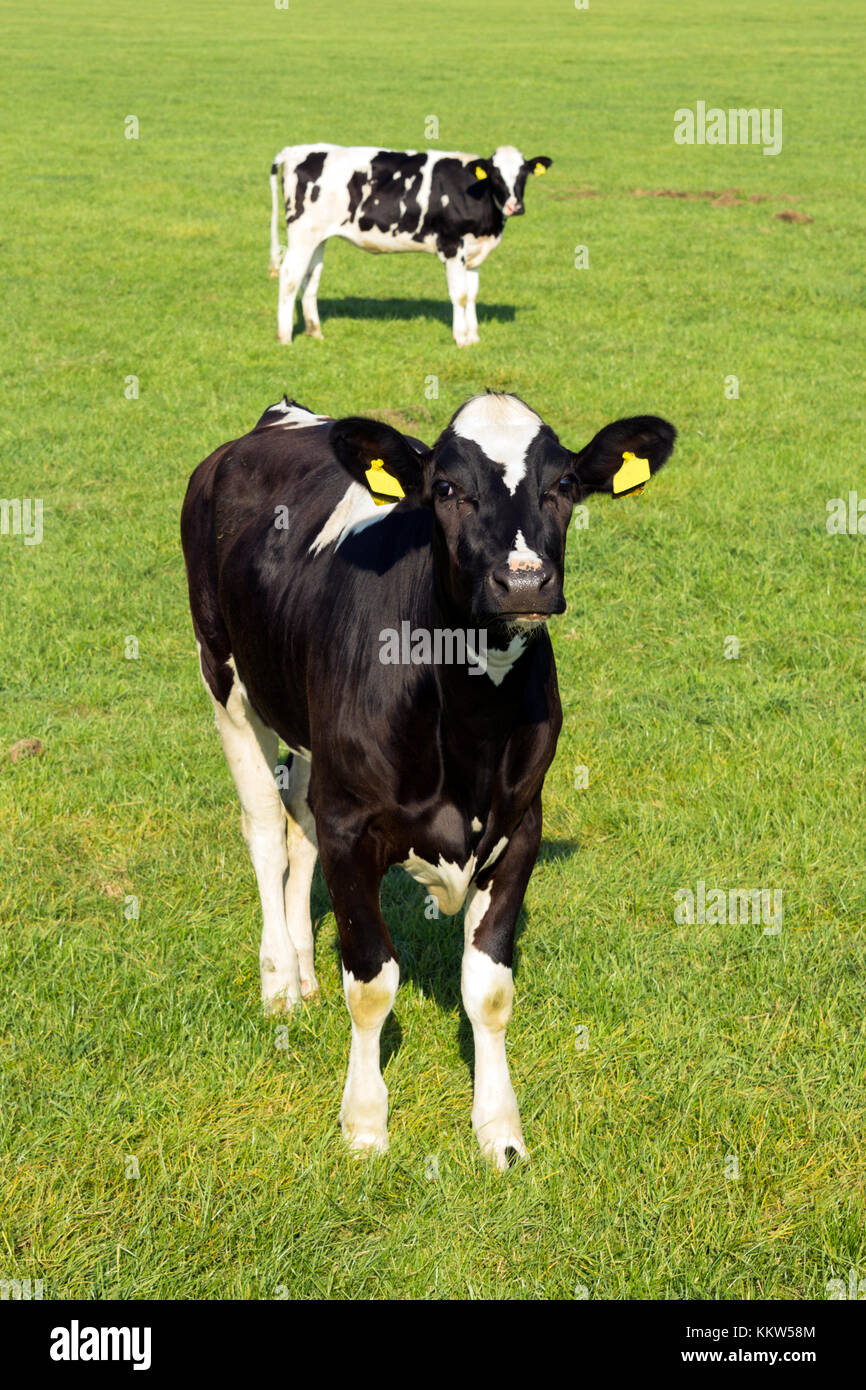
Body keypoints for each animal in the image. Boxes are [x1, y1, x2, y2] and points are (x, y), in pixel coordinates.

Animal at [181, 391, 676, 1167]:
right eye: (445, 488)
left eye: (565, 485)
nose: (524, 579)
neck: (471, 720)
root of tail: (282, 416)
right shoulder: (353, 826)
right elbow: (372, 981)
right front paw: (364, 1125)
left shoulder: (520, 825)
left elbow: (489, 988)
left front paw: (500, 1130)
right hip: (223, 676)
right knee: (263, 825)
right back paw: (279, 979)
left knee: (297, 824)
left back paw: (303, 970)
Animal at [267, 144, 553, 347]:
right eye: (495, 175)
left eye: (524, 174)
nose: (515, 206)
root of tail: (295, 150)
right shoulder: (452, 247)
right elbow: (459, 295)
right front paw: (461, 338)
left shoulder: (473, 251)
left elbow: (471, 294)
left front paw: (473, 337)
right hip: (302, 233)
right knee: (290, 275)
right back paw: (285, 337)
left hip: (318, 236)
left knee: (310, 278)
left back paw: (315, 332)